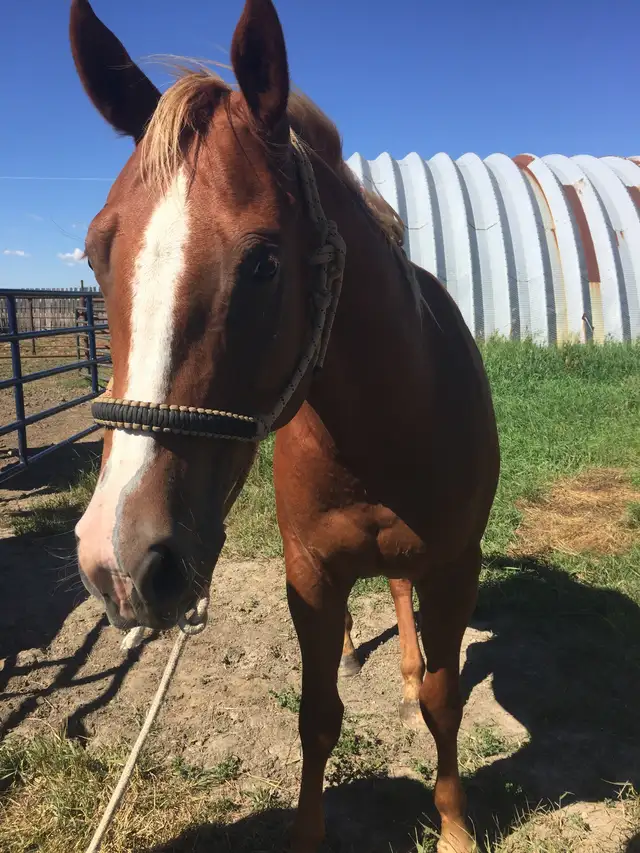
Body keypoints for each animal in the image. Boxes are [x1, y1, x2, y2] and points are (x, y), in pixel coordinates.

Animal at [70, 2, 500, 851]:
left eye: (263, 262)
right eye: (100, 253)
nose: (119, 560)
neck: (386, 430)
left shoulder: (455, 568)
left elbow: (444, 700)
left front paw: (455, 825)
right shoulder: (310, 575)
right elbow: (317, 715)